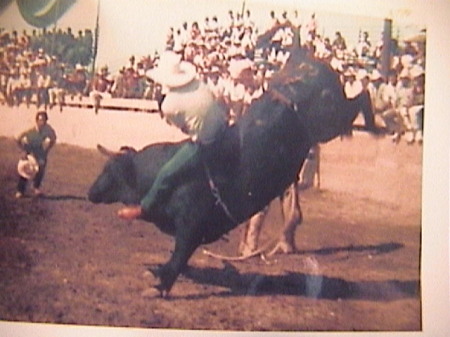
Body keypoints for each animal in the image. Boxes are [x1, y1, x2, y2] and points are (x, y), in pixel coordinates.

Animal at [87, 53, 366, 296]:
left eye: (109, 169)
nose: (90, 192)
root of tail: (308, 63)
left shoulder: (191, 227)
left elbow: (178, 258)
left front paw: (159, 286)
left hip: (330, 120)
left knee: (357, 104)